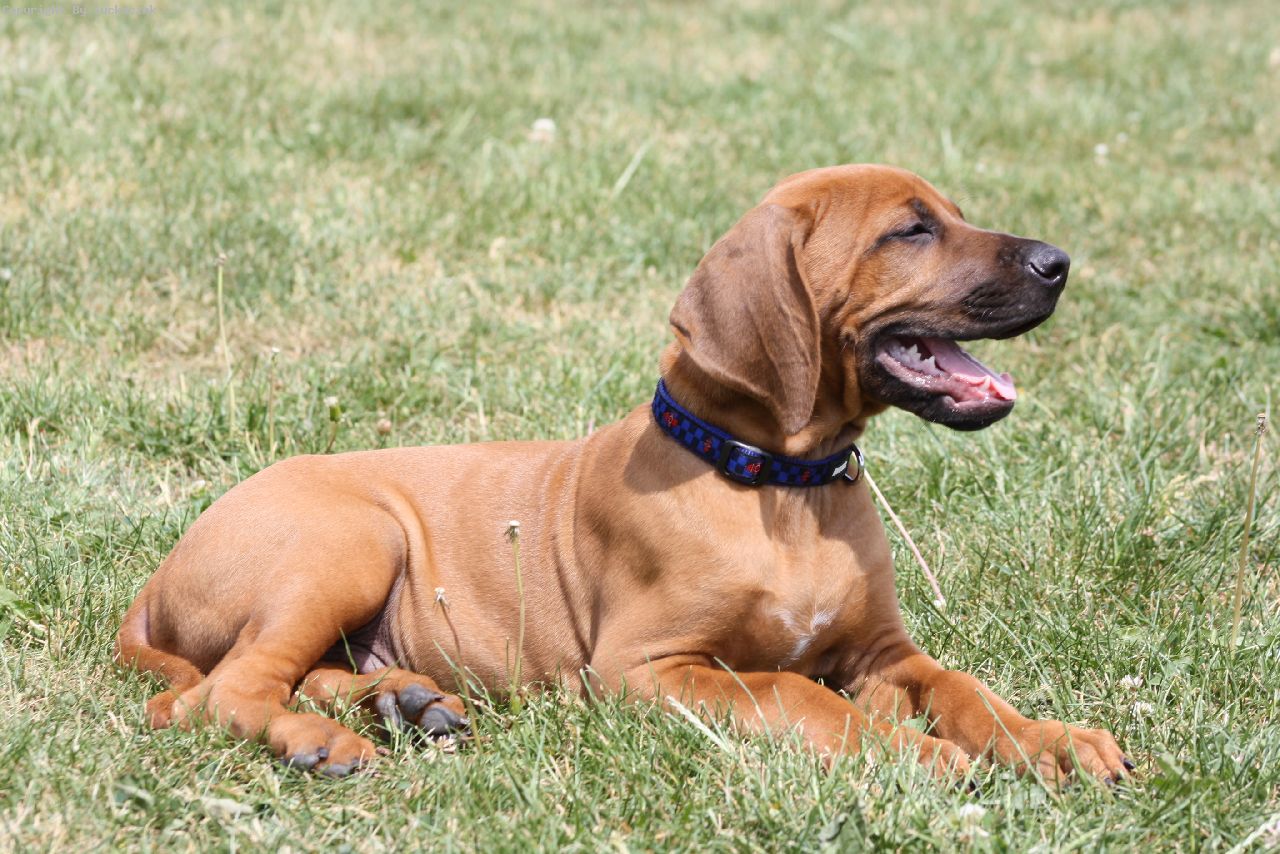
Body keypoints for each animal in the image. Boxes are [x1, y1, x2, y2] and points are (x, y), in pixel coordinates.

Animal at [116, 164, 1131, 782]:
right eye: (912, 231)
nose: (1058, 262)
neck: (780, 490)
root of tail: (155, 582)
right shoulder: (647, 667)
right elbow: (788, 689)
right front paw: (922, 760)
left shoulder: (882, 652)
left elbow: (963, 687)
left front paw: (1052, 742)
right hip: (347, 540)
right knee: (215, 694)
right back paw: (324, 741)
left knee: (278, 675)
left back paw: (406, 702)